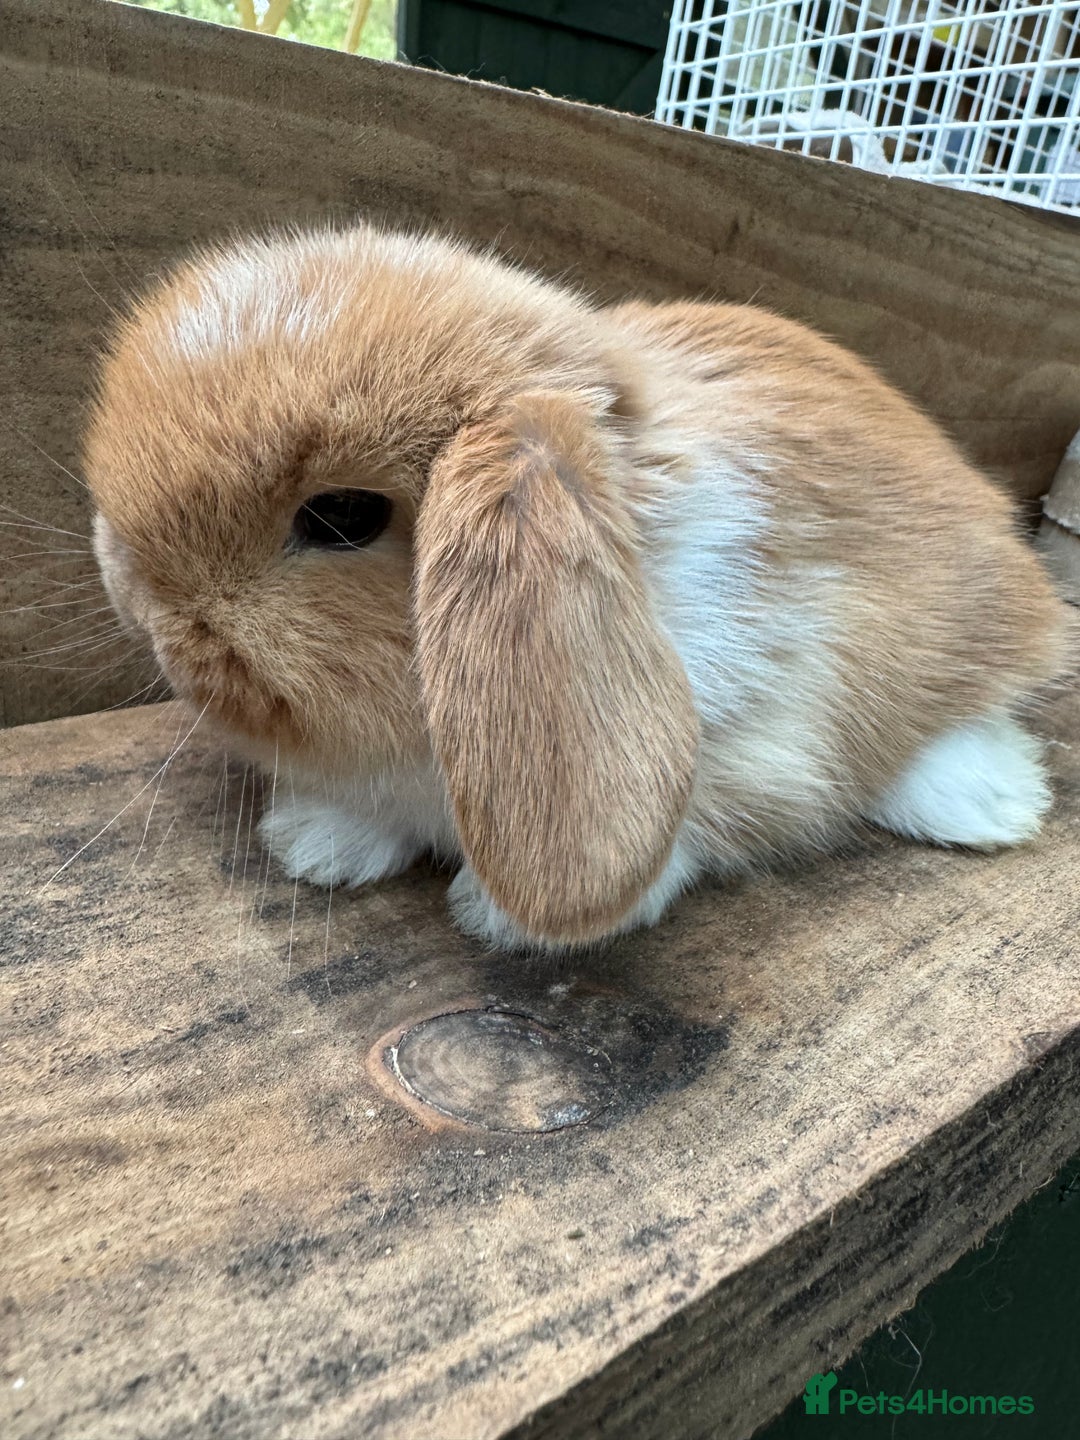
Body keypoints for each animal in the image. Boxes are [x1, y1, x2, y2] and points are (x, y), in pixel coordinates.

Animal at [85, 222, 1074, 951]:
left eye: (341, 517)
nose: (143, 606)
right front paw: (313, 846)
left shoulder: (763, 740)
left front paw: (493, 917)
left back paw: (997, 808)